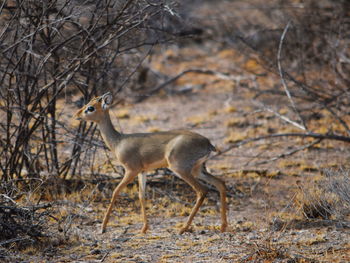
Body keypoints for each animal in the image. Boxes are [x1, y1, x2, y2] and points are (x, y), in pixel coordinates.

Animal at [75, 93, 228, 235]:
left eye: (90, 108)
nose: (76, 114)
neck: (118, 142)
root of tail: (207, 143)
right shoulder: (142, 172)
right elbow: (141, 196)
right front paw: (144, 228)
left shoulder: (131, 170)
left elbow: (115, 191)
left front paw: (103, 227)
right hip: (198, 169)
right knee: (220, 183)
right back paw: (222, 227)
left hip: (180, 169)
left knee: (202, 190)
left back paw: (183, 229)